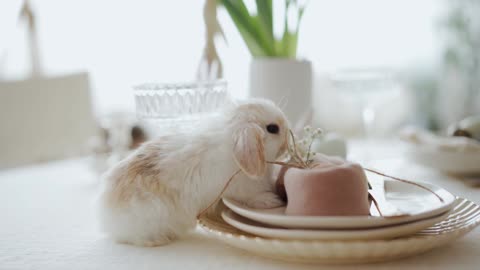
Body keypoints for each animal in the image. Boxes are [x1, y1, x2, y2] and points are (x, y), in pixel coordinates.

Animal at [98, 99, 288, 247]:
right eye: (272, 128)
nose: (286, 143)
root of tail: (106, 216)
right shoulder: (239, 190)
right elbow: (251, 198)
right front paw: (271, 200)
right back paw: (159, 240)